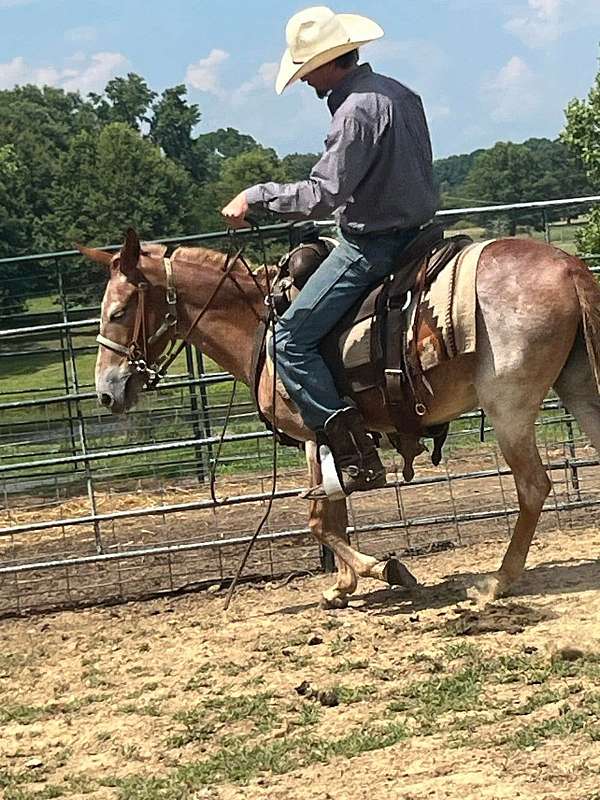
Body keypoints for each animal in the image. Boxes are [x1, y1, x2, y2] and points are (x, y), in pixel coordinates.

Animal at [81, 228, 600, 608]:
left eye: (119, 312)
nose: (106, 392)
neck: (262, 327)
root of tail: (569, 266)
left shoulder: (318, 433)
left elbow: (320, 522)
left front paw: (384, 571)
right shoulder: (342, 441)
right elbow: (337, 513)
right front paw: (343, 586)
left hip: (509, 407)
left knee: (532, 487)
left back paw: (497, 582)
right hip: (579, 387)